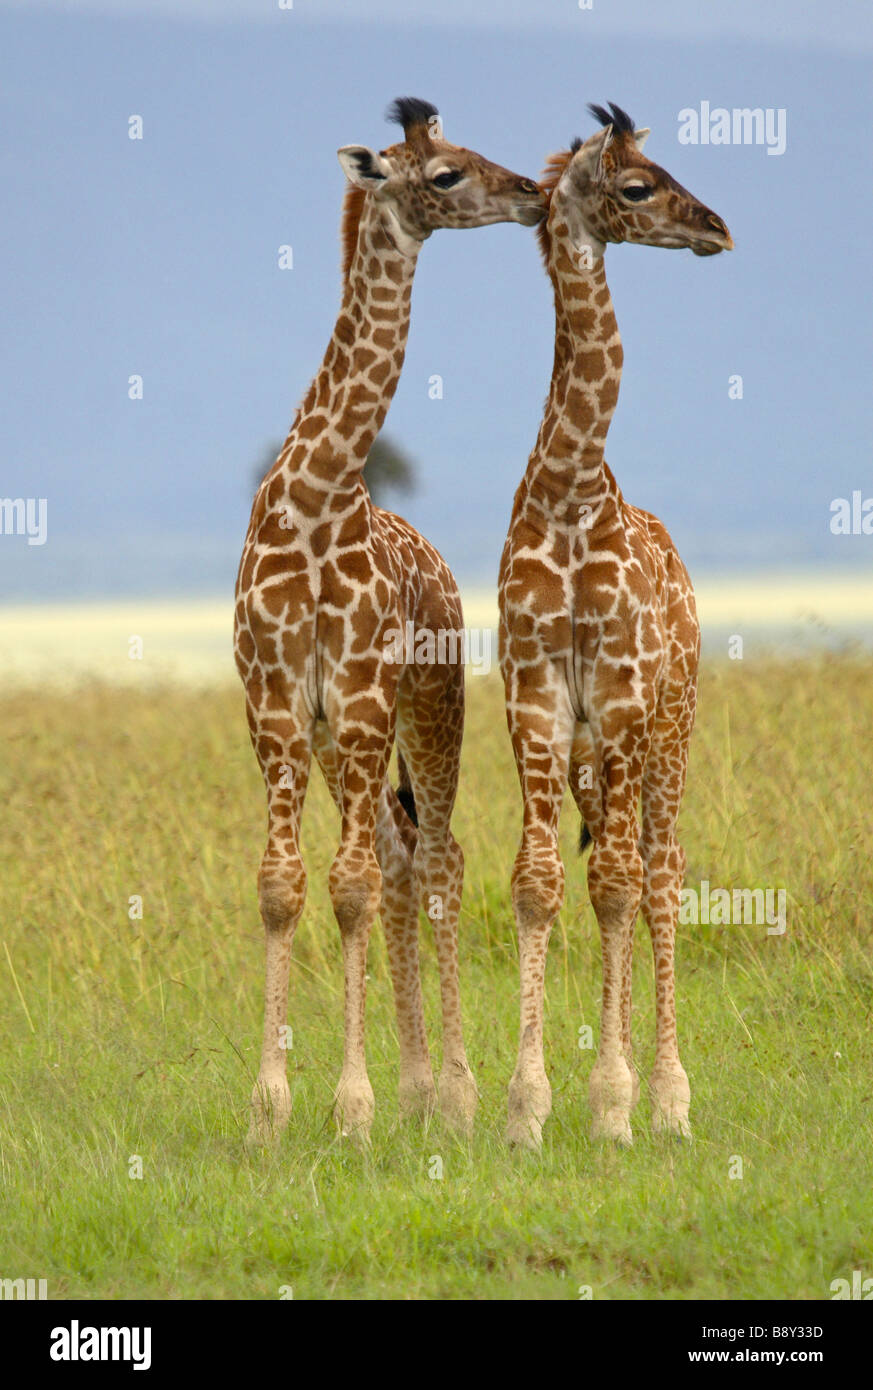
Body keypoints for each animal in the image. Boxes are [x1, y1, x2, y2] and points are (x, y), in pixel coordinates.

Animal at [235, 97, 544, 1145]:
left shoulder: (366, 700)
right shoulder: (279, 708)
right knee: (405, 858)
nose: (533, 193)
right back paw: (418, 1088)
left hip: (431, 706)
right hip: (345, 744)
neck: (317, 497)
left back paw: (452, 1094)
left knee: (439, 859)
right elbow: (286, 887)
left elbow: (349, 889)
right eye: (443, 173)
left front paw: (351, 1107)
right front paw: (270, 1114)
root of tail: (442, 566)